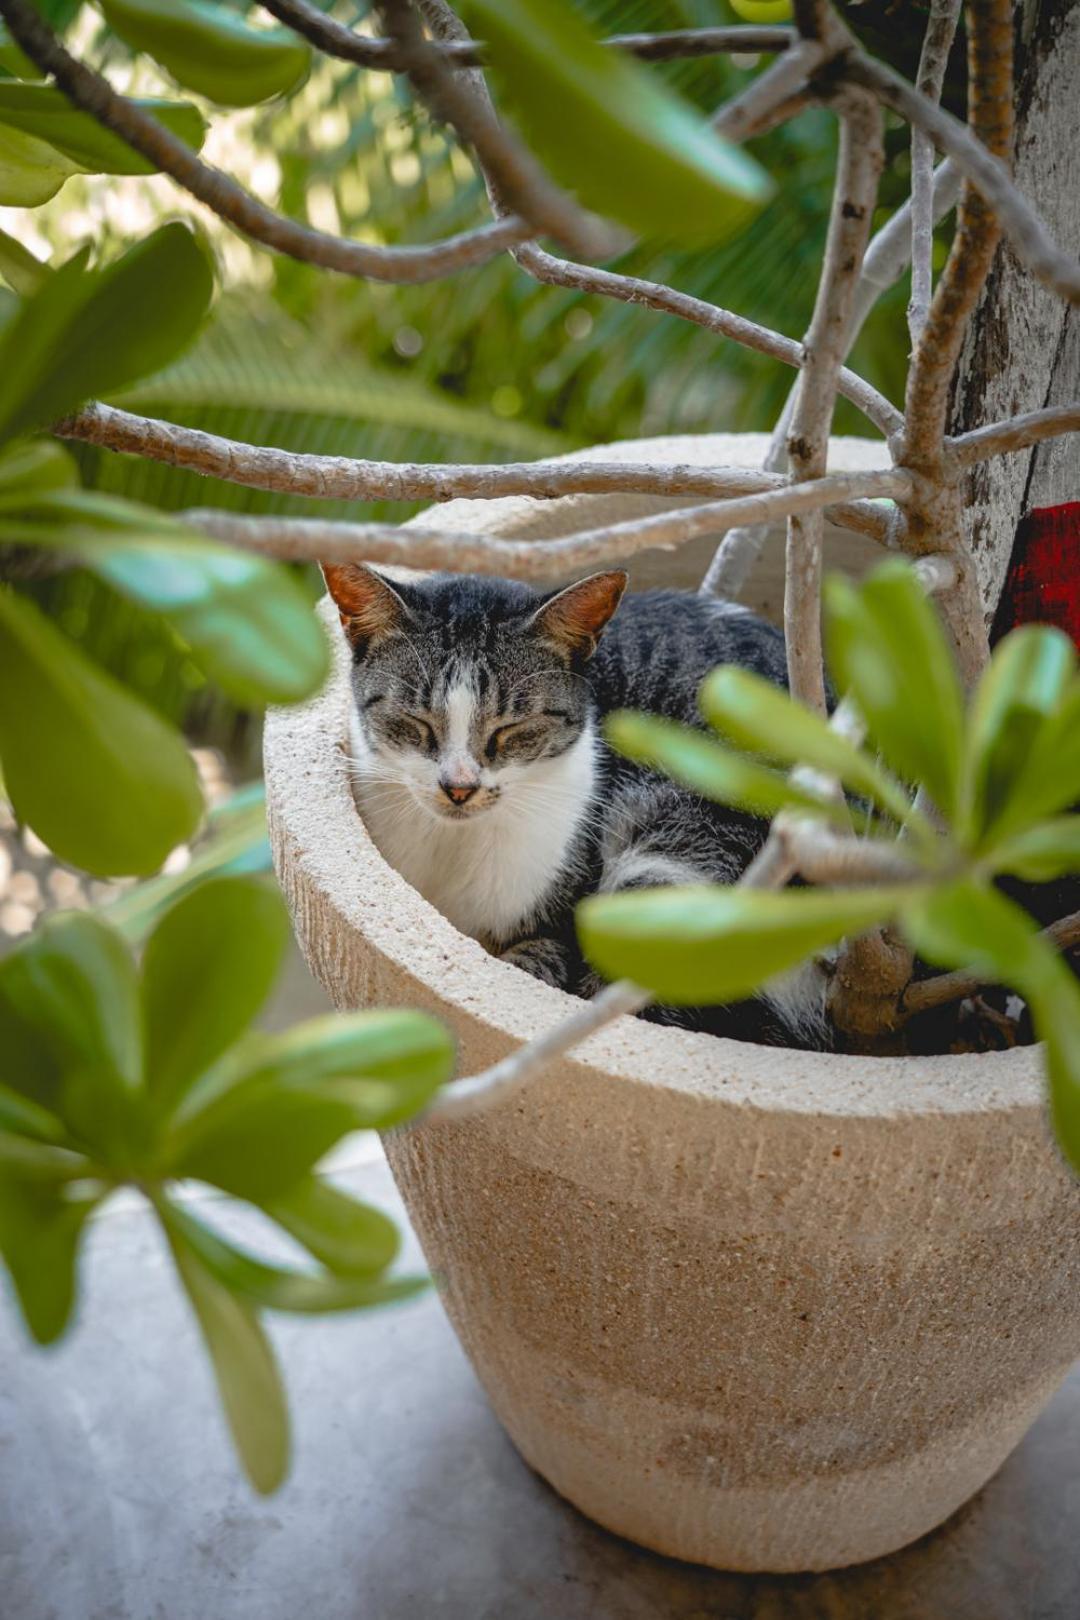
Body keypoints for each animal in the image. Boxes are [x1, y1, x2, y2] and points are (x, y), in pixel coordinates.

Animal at [325, 563, 835, 1056]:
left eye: (512, 728)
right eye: (415, 722)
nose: (459, 788)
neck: (453, 847)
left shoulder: (565, 921)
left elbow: (542, 964)